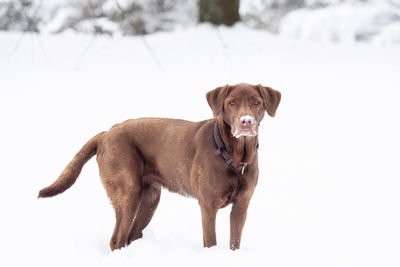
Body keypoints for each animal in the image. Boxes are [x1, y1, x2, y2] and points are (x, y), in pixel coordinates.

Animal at [38, 83, 282, 251]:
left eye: (256, 102)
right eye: (231, 102)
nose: (246, 122)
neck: (235, 156)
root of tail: (106, 133)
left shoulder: (241, 205)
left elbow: (235, 242)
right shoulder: (208, 205)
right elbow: (210, 240)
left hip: (149, 199)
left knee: (130, 236)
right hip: (128, 192)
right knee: (117, 238)